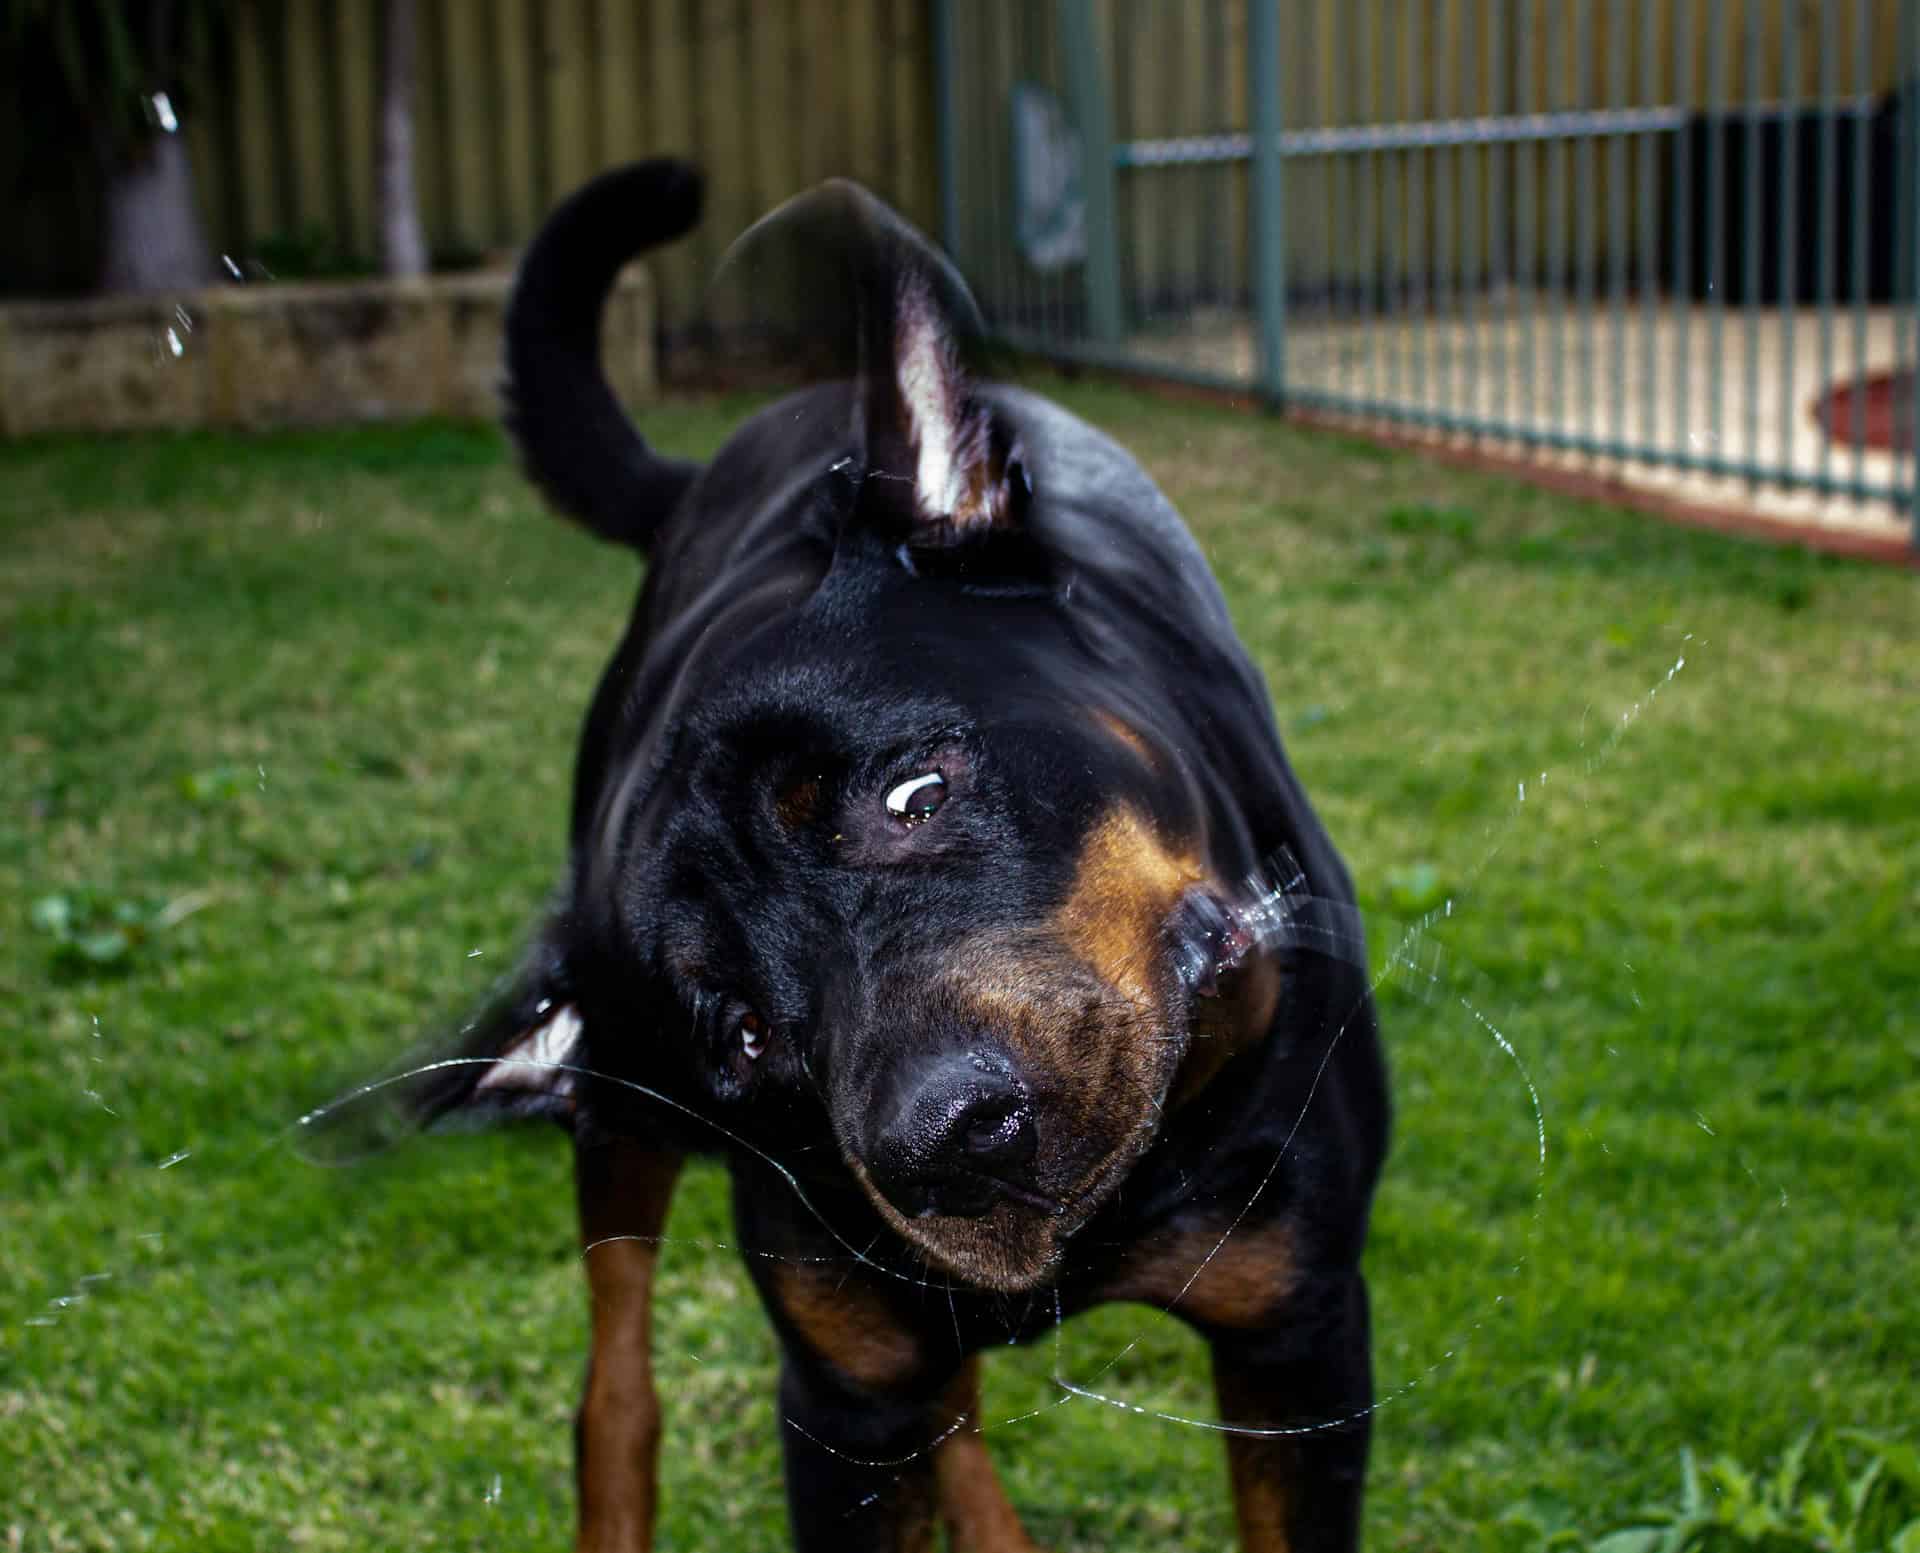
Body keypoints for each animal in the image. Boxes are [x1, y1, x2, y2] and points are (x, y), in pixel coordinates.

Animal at [424, 163, 1382, 1543]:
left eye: (911, 792)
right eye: (739, 1033)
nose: (949, 1140)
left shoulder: (1297, 1337)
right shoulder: (844, 1402)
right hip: (616, 1123)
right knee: (616, 1380)